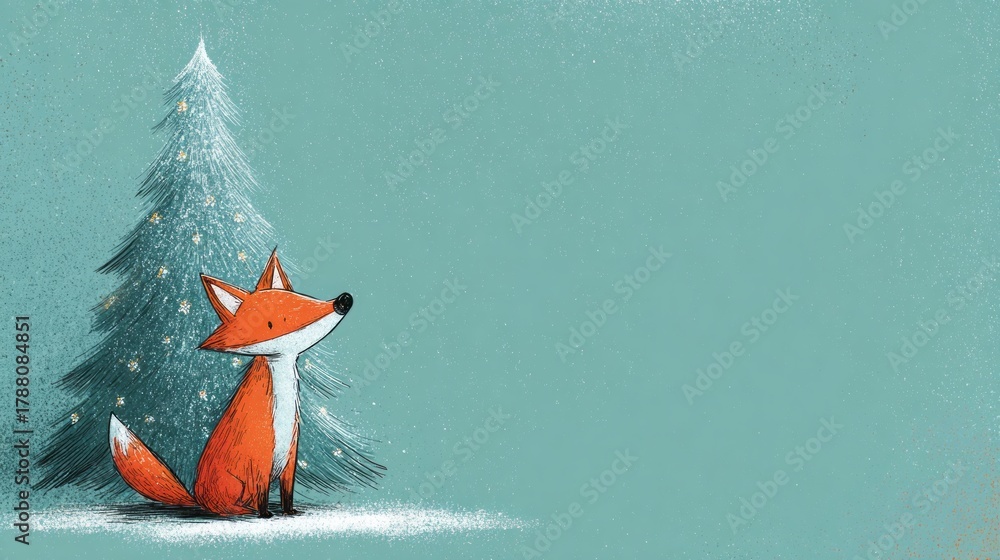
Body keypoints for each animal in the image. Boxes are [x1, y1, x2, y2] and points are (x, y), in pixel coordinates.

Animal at [108, 250, 353, 517]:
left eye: (302, 299)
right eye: (271, 323)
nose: (343, 300)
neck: (283, 412)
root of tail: (197, 497)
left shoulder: (290, 457)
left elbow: (287, 493)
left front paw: (289, 513)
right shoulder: (259, 460)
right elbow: (264, 493)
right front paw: (266, 515)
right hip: (234, 484)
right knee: (227, 506)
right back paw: (241, 510)